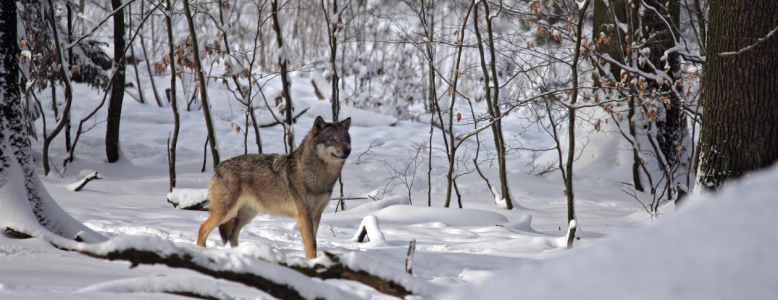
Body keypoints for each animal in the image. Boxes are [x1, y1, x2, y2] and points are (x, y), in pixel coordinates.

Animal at [196, 115, 350, 258]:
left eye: (345, 139)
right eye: (331, 139)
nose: (347, 150)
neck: (318, 175)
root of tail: (219, 166)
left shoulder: (316, 215)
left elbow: (312, 241)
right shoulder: (304, 215)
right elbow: (312, 243)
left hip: (247, 214)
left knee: (233, 234)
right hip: (226, 213)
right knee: (203, 227)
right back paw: (201, 251)